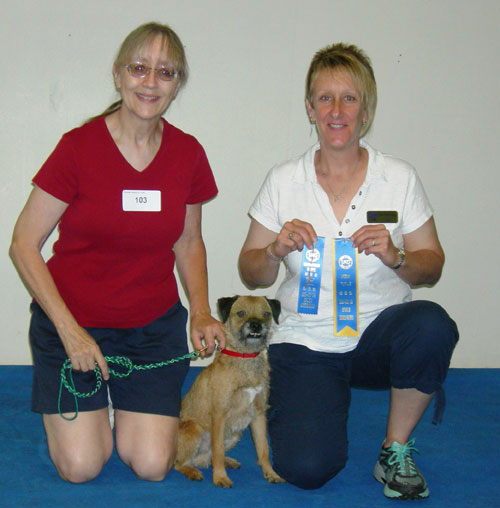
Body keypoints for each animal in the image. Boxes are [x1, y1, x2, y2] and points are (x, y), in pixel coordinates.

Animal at [174, 295, 284, 488]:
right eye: (240, 313)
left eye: (266, 314)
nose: (255, 325)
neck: (245, 357)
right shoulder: (220, 414)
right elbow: (217, 450)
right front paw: (220, 477)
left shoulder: (258, 414)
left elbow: (263, 449)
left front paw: (270, 473)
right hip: (194, 429)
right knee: (180, 463)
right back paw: (193, 471)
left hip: (235, 433)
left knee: (209, 458)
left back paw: (228, 461)